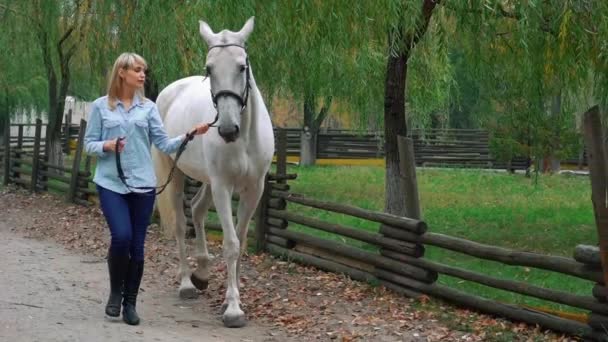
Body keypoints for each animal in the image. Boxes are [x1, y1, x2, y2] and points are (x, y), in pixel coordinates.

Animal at [153, 17, 274, 328]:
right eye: (209, 69)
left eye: (242, 67)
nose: (228, 129)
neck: (244, 138)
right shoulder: (223, 187)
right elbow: (231, 243)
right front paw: (233, 309)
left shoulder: (254, 190)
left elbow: (240, 243)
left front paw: (233, 298)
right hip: (178, 175)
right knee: (181, 223)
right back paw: (187, 282)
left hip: (206, 180)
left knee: (196, 209)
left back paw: (203, 272)